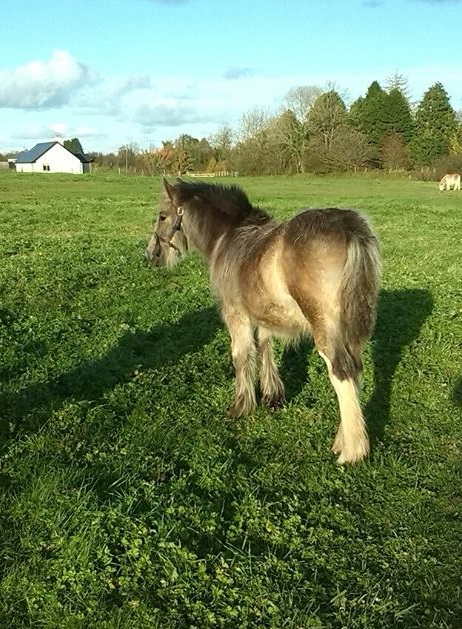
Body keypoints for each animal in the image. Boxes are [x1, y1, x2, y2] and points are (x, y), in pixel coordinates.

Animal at [146, 177, 380, 462]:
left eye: (162, 216)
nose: (151, 255)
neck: (228, 236)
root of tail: (351, 230)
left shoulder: (235, 313)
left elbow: (241, 355)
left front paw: (240, 407)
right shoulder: (263, 314)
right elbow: (265, 348)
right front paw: (272, 397)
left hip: (327, 329)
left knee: (342, 372)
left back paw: (352, 452)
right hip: (352, 329)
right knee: (355, 371)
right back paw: (342, 441)